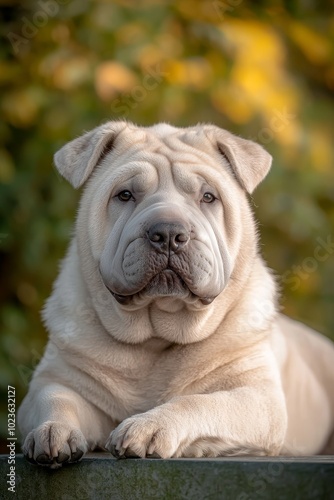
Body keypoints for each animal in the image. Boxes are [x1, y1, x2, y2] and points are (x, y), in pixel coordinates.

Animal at [18, 119, 334, 466]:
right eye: (124, 195)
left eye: (208, 196)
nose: (168, 232)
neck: (156, 337)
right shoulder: (57, 378)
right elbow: (56, 399)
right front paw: (52, 432)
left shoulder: (257, 397)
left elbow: (200, 402)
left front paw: (148, 427)